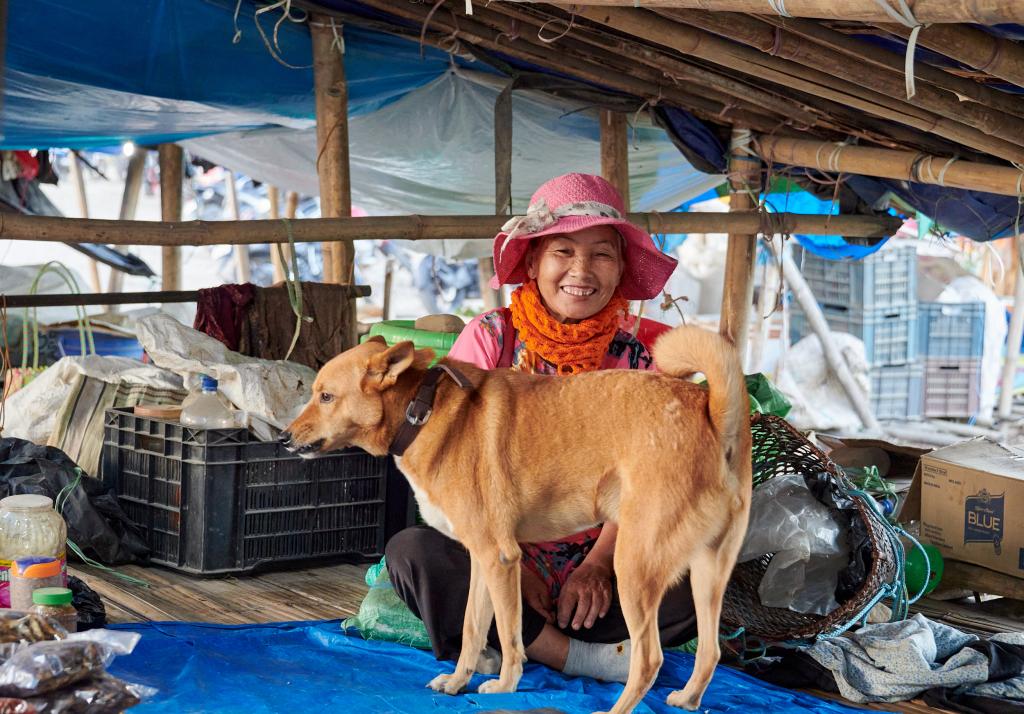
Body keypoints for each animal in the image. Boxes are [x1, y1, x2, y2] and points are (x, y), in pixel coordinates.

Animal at [282, 323, 753, 712]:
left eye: (326, 396)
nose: (284, 438)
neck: (422, 410)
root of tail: (710, 408)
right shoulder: (483, 561)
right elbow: (473, 628)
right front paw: (457, 683)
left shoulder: (499, 557)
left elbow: (510, 636)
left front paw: (505, 686)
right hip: (706, 572)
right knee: (709, 652)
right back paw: (687, 699)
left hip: (634, 568)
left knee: (650, 659)